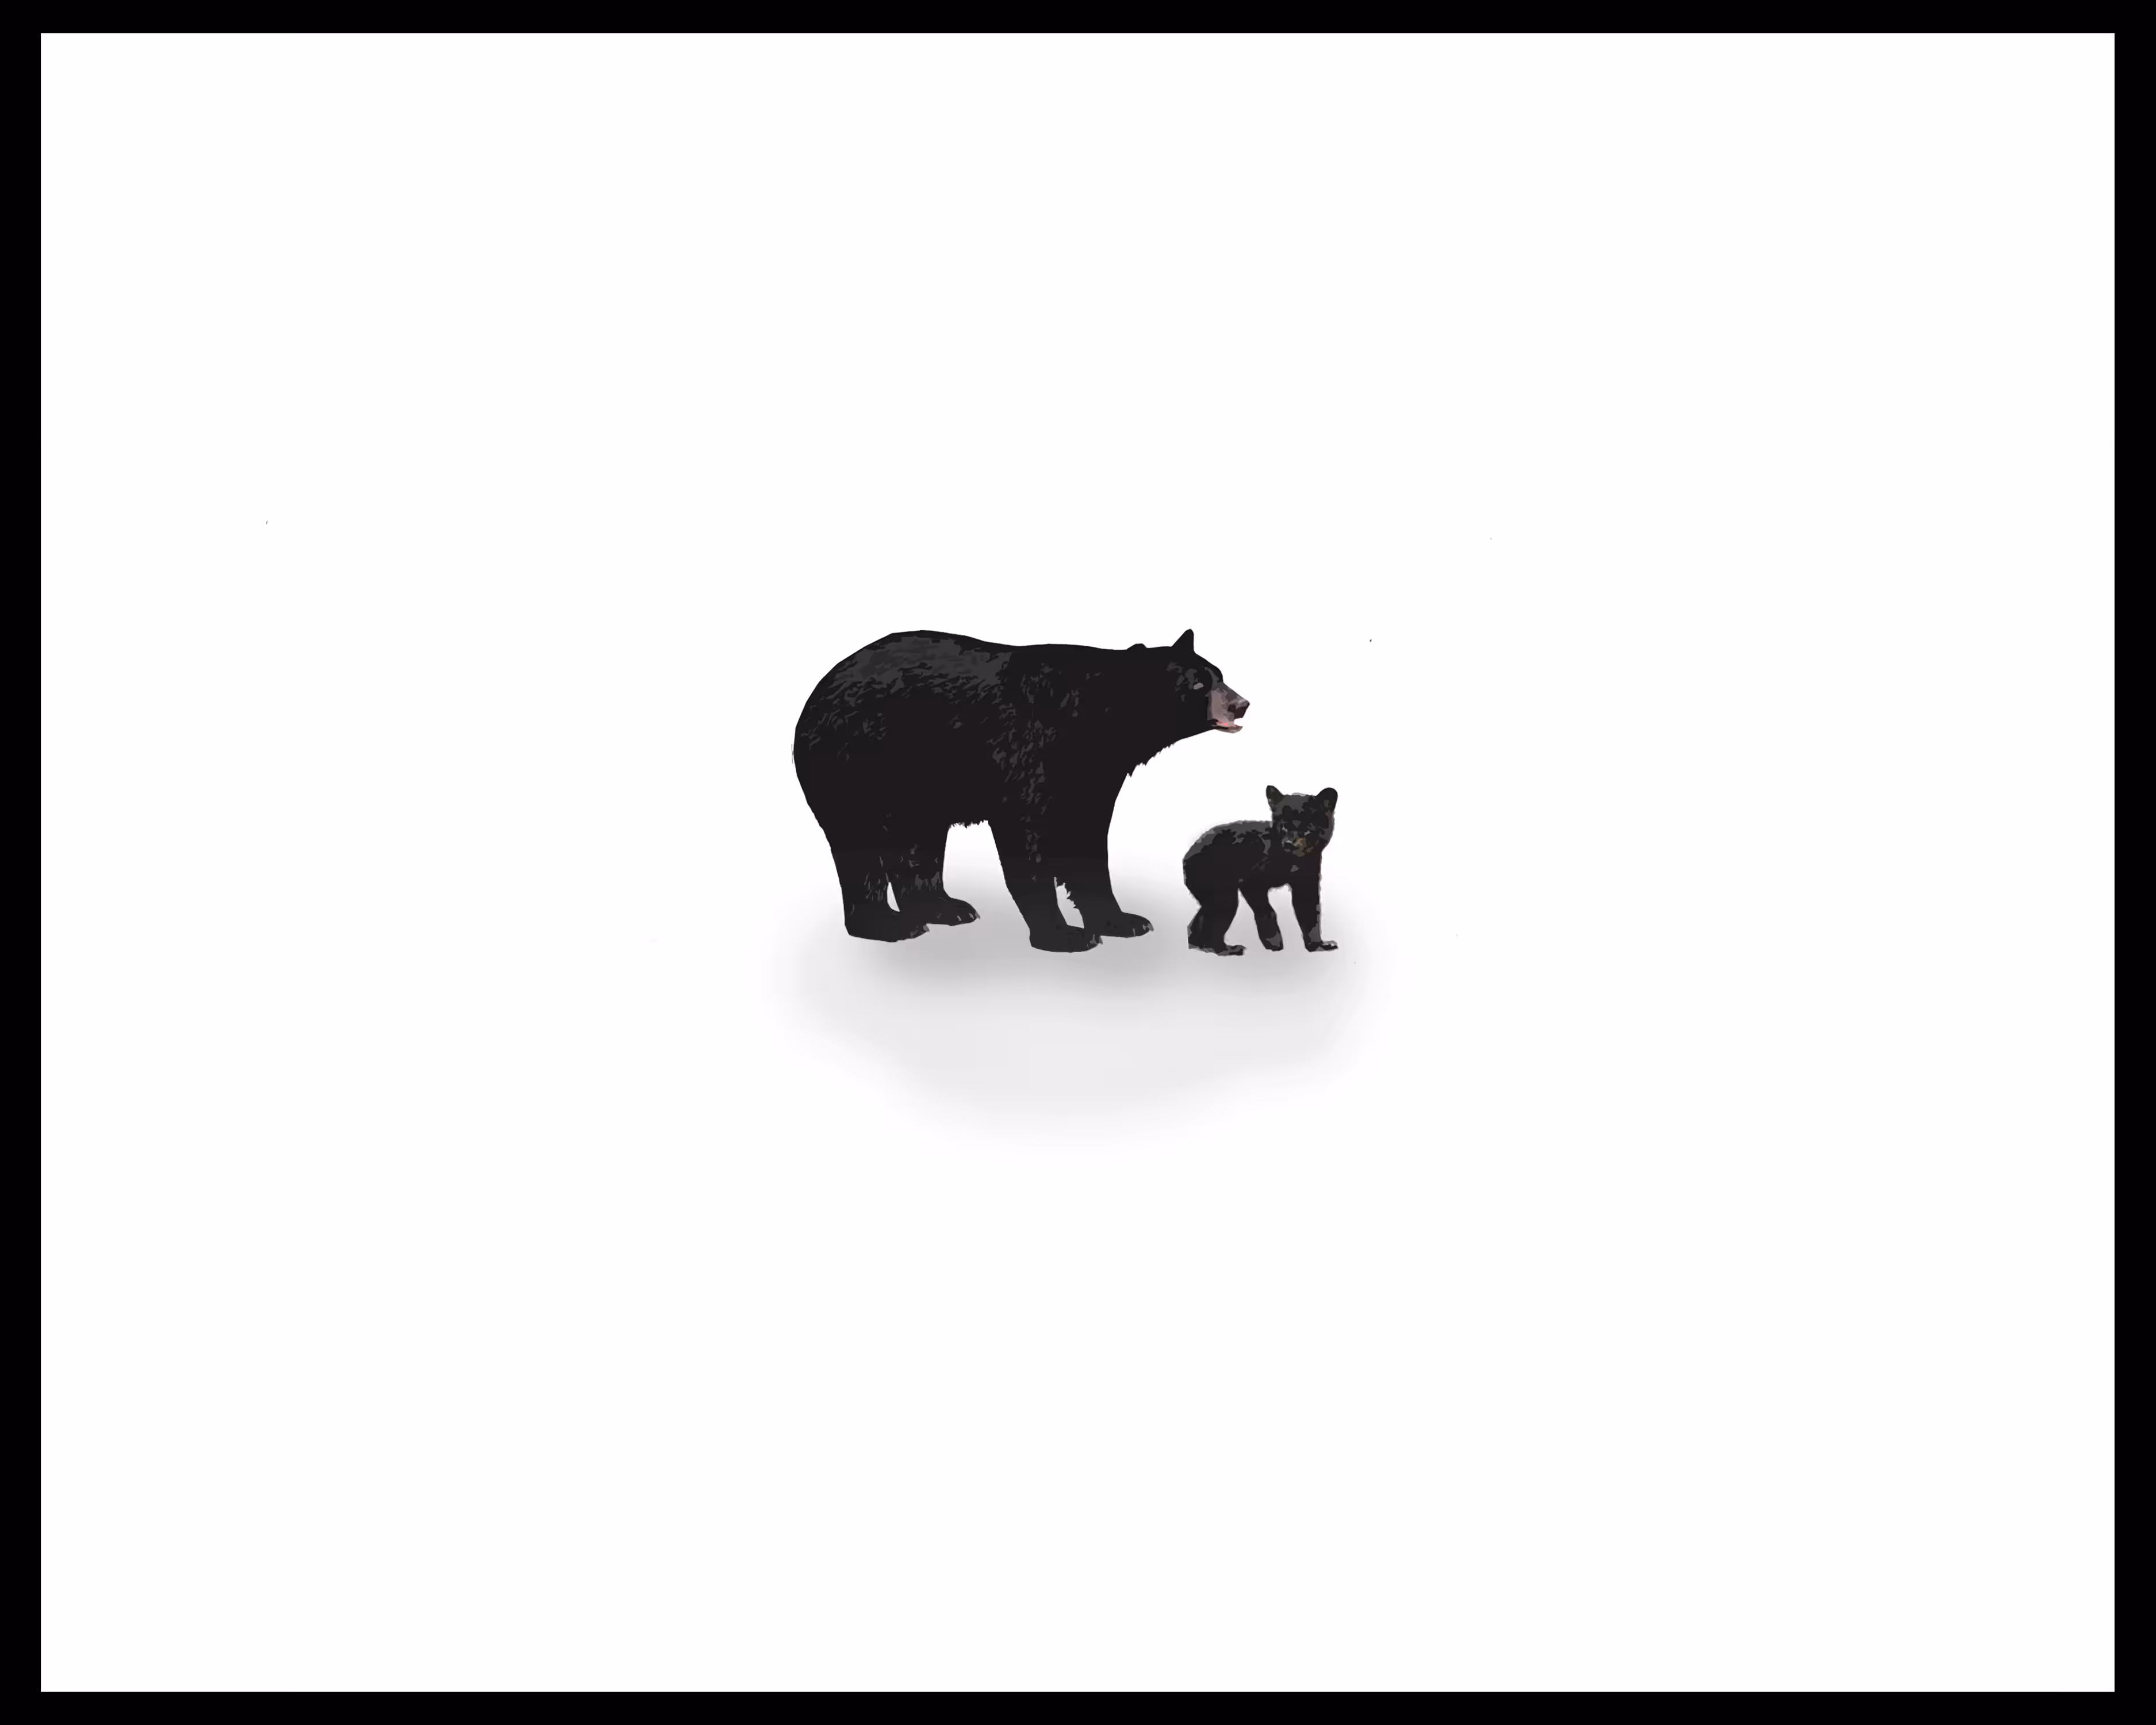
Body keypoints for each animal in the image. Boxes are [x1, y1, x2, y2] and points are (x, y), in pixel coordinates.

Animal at [794, 629, 1249, 951]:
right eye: (1197, 685)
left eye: (1220, 675)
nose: (1241, 704)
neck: (1095, 718)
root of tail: (817, 690)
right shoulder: (1026, 752)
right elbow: (1025, 838)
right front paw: (1064, 935)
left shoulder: (1093, 775)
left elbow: (1088, 842)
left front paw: (1122, 921)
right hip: (854, 761)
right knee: (858, 846)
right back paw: (888, 925)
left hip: (920, 787)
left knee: (918, 844)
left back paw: (944, 909)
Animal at [1184, 786, 1339, 956]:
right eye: (1284, 826)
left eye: (1307, 829)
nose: (1290, 843)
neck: (1291, 860)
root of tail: (1188, 855)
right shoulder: (1251, 884)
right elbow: (1267, 911)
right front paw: (1274, 941)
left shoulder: (1306, 885)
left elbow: (1311, 917)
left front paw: (1317, 946)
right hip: (1225, 899)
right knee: (1214, 929)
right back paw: (1228, 950)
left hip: (1217, 899)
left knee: (1200, 922)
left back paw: (1198, 945)